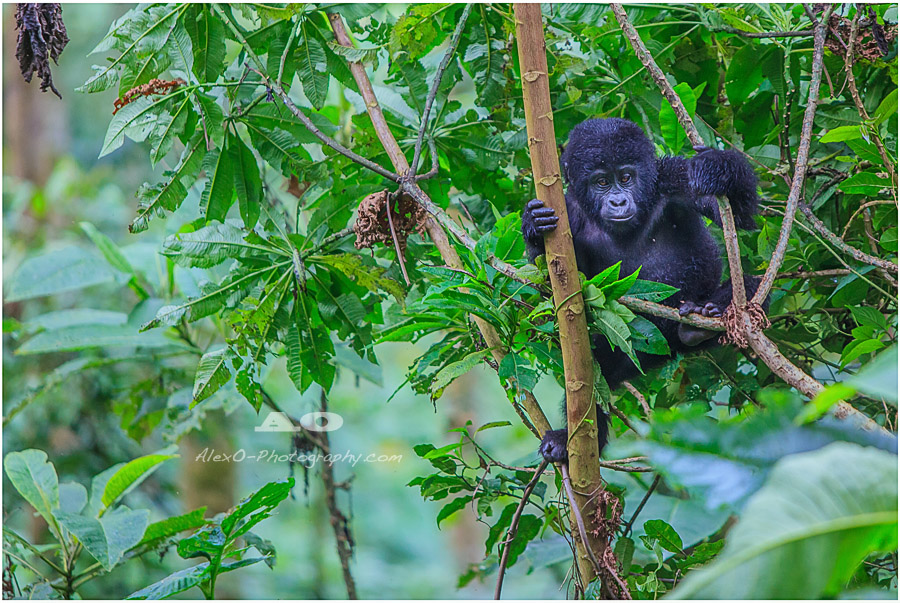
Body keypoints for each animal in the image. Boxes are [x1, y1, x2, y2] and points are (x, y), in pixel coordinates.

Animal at [520, 118, 768, 462]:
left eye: (626, 177)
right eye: (601, 182)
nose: (618, 201)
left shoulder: (675, 178)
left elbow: (741, 215)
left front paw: (717, 166)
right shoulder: (568, 211)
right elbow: (558, 283)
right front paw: (533, 225)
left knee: (752, 288)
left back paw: (708, 315)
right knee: (593, 372)